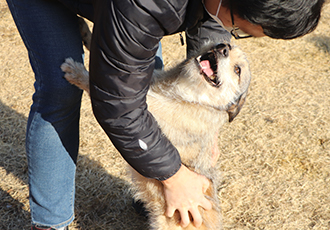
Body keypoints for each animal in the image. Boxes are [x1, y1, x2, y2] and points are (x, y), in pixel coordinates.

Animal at [61, 18, 250, 229]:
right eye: (228, 46)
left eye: (237, 70)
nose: (222, 47)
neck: (187, 93)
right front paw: (83, 28)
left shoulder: (145, 108)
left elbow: (104, 89)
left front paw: (75, 71)